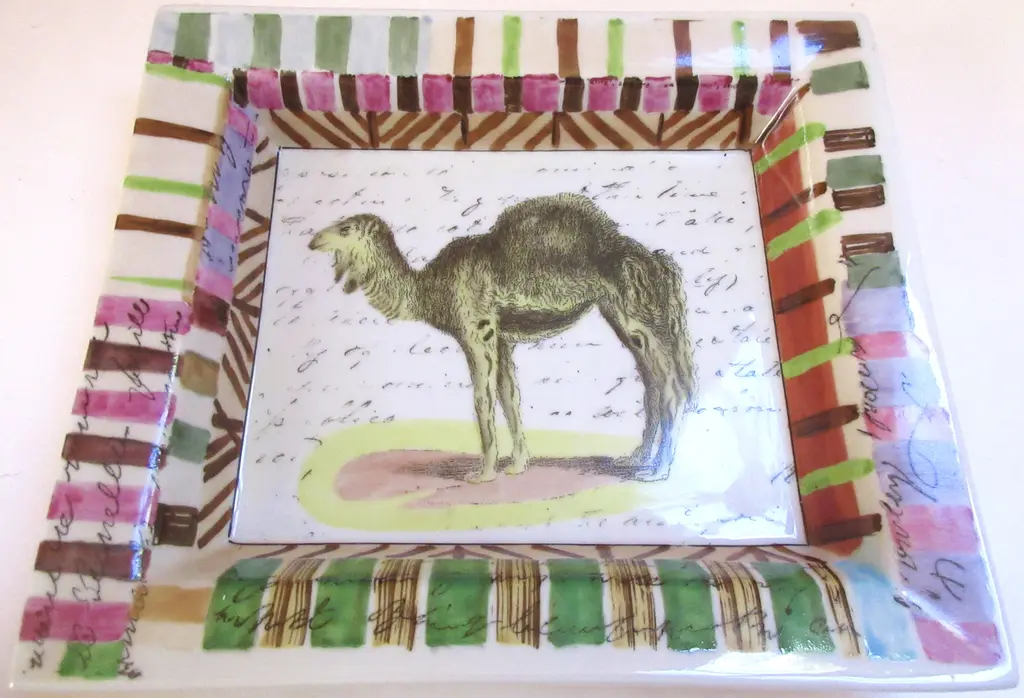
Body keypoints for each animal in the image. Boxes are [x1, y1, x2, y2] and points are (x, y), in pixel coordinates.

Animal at [308, 193, 695, 483]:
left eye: (345, 228)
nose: (313, 241)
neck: (430, 289)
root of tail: (659, 262)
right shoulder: (502, 339)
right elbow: (510, 396)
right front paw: (518, 464)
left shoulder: (476, 331)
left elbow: (483, 399)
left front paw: (484, 473)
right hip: (621, 317)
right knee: (652, 386)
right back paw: (635, 459)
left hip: (641, 320)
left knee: (671, 389)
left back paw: (658, 471)